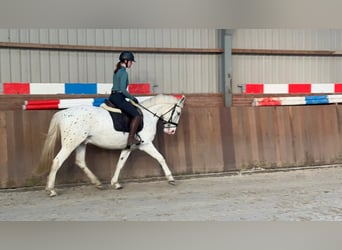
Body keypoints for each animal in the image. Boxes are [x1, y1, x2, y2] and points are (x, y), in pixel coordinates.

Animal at [38, 94, 186, 197]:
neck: (148, 116)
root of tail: (63, 113)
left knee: (80, 162)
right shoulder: (146, 144)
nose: (171, 131)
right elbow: (161, 158)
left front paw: (115, 183)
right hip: (71, 143)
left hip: (81, 143)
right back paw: (51, 190)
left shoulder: (128, 147)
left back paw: (98, 183)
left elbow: (120, 164)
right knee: (57, 161)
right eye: (178, 113)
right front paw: (171, 178)